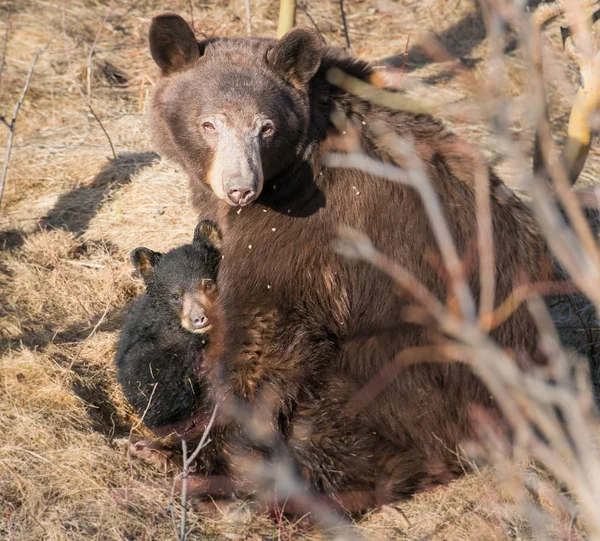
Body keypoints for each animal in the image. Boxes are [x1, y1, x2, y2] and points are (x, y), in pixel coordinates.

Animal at [148, 12, 552, 508]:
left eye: (265, 127)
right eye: (208, 124)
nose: (240, 187)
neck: (291, 170)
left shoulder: (310, 224)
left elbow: (264, 325)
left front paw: (212, 448)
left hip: (419, 364)